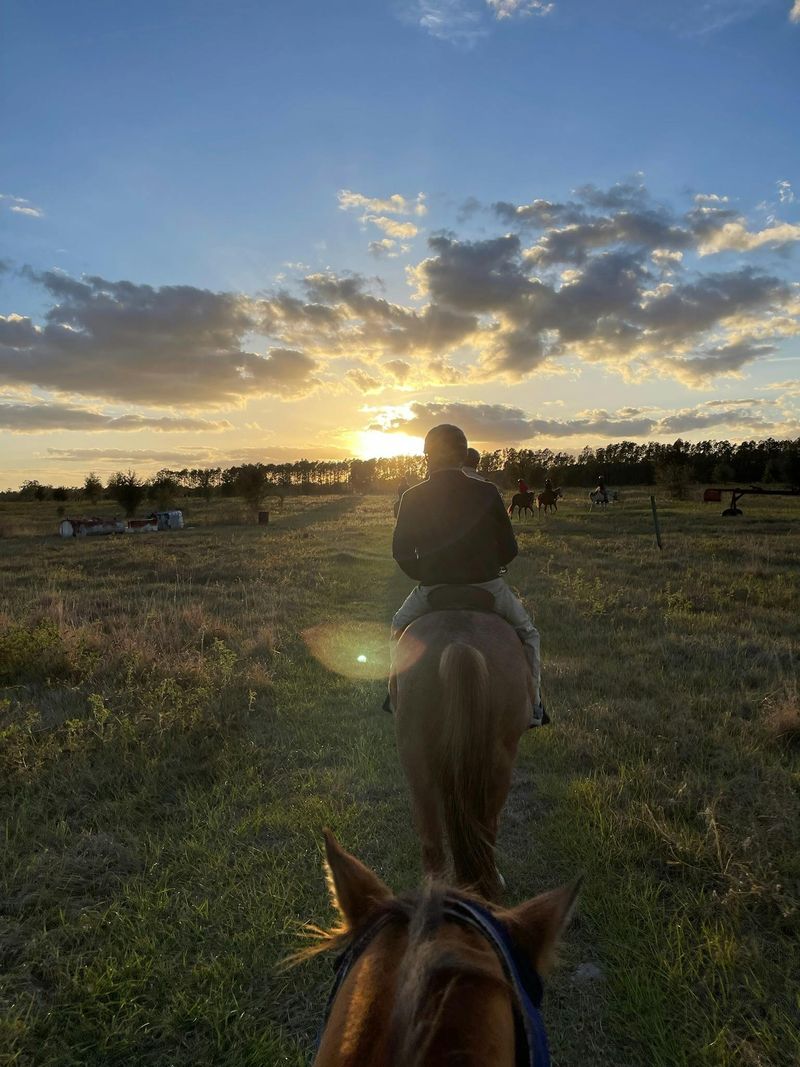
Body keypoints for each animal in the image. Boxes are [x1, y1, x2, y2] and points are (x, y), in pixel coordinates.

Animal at [391, 587, 533, 901]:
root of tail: (459, 644)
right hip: (500, 760)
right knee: (486, 827)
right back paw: (491, 884)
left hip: (415, 756)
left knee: (432, 842)